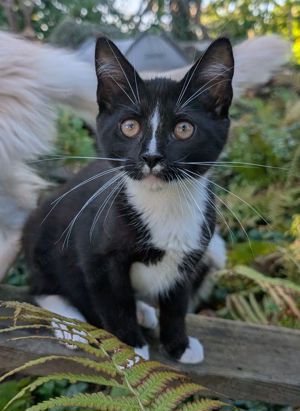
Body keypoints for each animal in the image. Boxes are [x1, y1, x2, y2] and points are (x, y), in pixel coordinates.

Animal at [23, 35, 234, 364]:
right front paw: (129, 347)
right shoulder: (95, 253)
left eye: (184, 129)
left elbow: (177, 303)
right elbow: (113, 302)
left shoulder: (191, 254)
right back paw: (72, 325)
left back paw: (144, 310)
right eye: (130, 126)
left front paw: (179, 345)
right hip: (39, 237)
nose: (151, 157)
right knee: (42, 288)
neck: (163, 204)